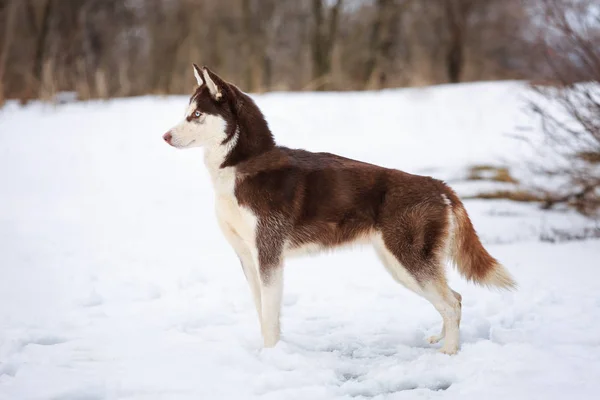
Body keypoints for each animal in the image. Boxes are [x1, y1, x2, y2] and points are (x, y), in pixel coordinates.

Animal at [164, 64, 516, 354]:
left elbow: (270, 315)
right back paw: (440, 339)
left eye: (196, 114)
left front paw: (271, 356)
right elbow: (264, 313)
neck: (245, 164)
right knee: (454, 298)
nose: (165, 136)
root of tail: (440, 185)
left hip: (408, 262)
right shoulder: (249, 259)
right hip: (398, 265)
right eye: (186, 112)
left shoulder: (269, 255)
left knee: (451, 303)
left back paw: (450, 352)